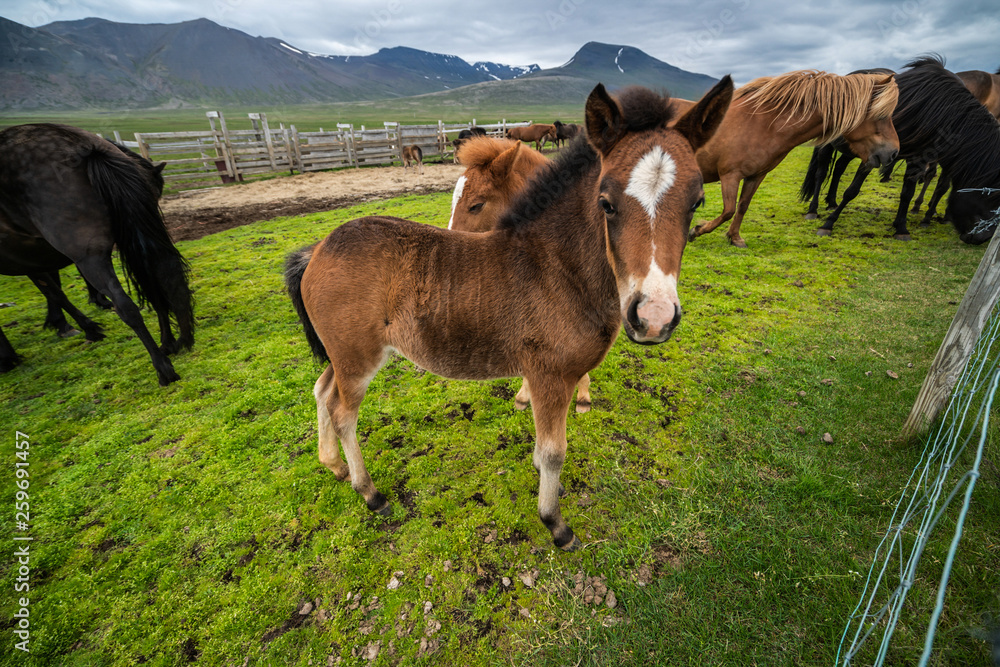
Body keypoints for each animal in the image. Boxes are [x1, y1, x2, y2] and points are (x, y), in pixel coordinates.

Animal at [0, 122, 194, 384]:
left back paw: (163, 368)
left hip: (88, 252)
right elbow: (54, 290)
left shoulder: (36, 259)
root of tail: (87, 148)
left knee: (126, 306)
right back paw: (168, 344)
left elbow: (55, 292)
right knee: (154, 285)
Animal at [286, 78, 732, 552]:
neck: (557, 266)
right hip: (358, 358)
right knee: (343, 413)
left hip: (344, 353)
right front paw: (556, 524)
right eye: (606, 202)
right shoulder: (550, 374)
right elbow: (554, 451)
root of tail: (317, 250)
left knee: (322, 389)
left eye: (696, 201)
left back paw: (333, 465)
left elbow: (542, 442)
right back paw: (371, 493)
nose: (654, 317)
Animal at [684, 70, 904, 248]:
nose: (894, 152)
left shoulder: (756, 176)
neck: (759, 124)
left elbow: (742, 206)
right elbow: (729, 210)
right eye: (882, 115)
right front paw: (696, 231)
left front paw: (734, 237)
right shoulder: (730, 175)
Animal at [804, 57, 1000, 245]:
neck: (935, 112)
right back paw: (813, 209)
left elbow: (907, 194)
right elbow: (852, 190)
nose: (982, 239)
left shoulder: (918, 159)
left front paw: (901, 228)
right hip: (827, 145)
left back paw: (831, 202)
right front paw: (828, 224)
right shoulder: (877, 154)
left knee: (838, 168)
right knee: (821, 172)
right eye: (993, 198)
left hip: (850, 150)